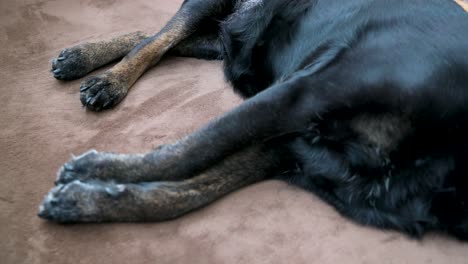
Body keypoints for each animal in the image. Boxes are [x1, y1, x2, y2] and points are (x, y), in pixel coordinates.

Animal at [39, 0, 468, 240]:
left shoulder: (293, 152)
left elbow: (188, 193)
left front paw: (84, 201)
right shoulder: (302, 94)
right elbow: (195, 148)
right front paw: (91, 169)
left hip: (228, 39)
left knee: (162, 40)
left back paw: (81, 59)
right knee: (156, 42)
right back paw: (106, 78)